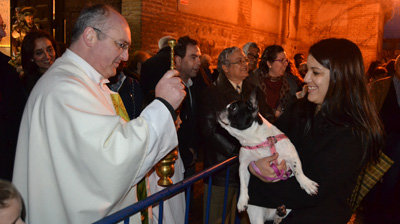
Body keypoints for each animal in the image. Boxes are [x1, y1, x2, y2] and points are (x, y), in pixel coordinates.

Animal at [217, 92, 318, 223]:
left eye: (233, 108)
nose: (219, 111)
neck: (255, 141)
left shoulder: (292, 155)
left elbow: (298, 172)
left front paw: (306, 184)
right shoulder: (244, 166)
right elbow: (243, 183)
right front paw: (242, 200)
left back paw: (280, 212)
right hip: (256, 216)